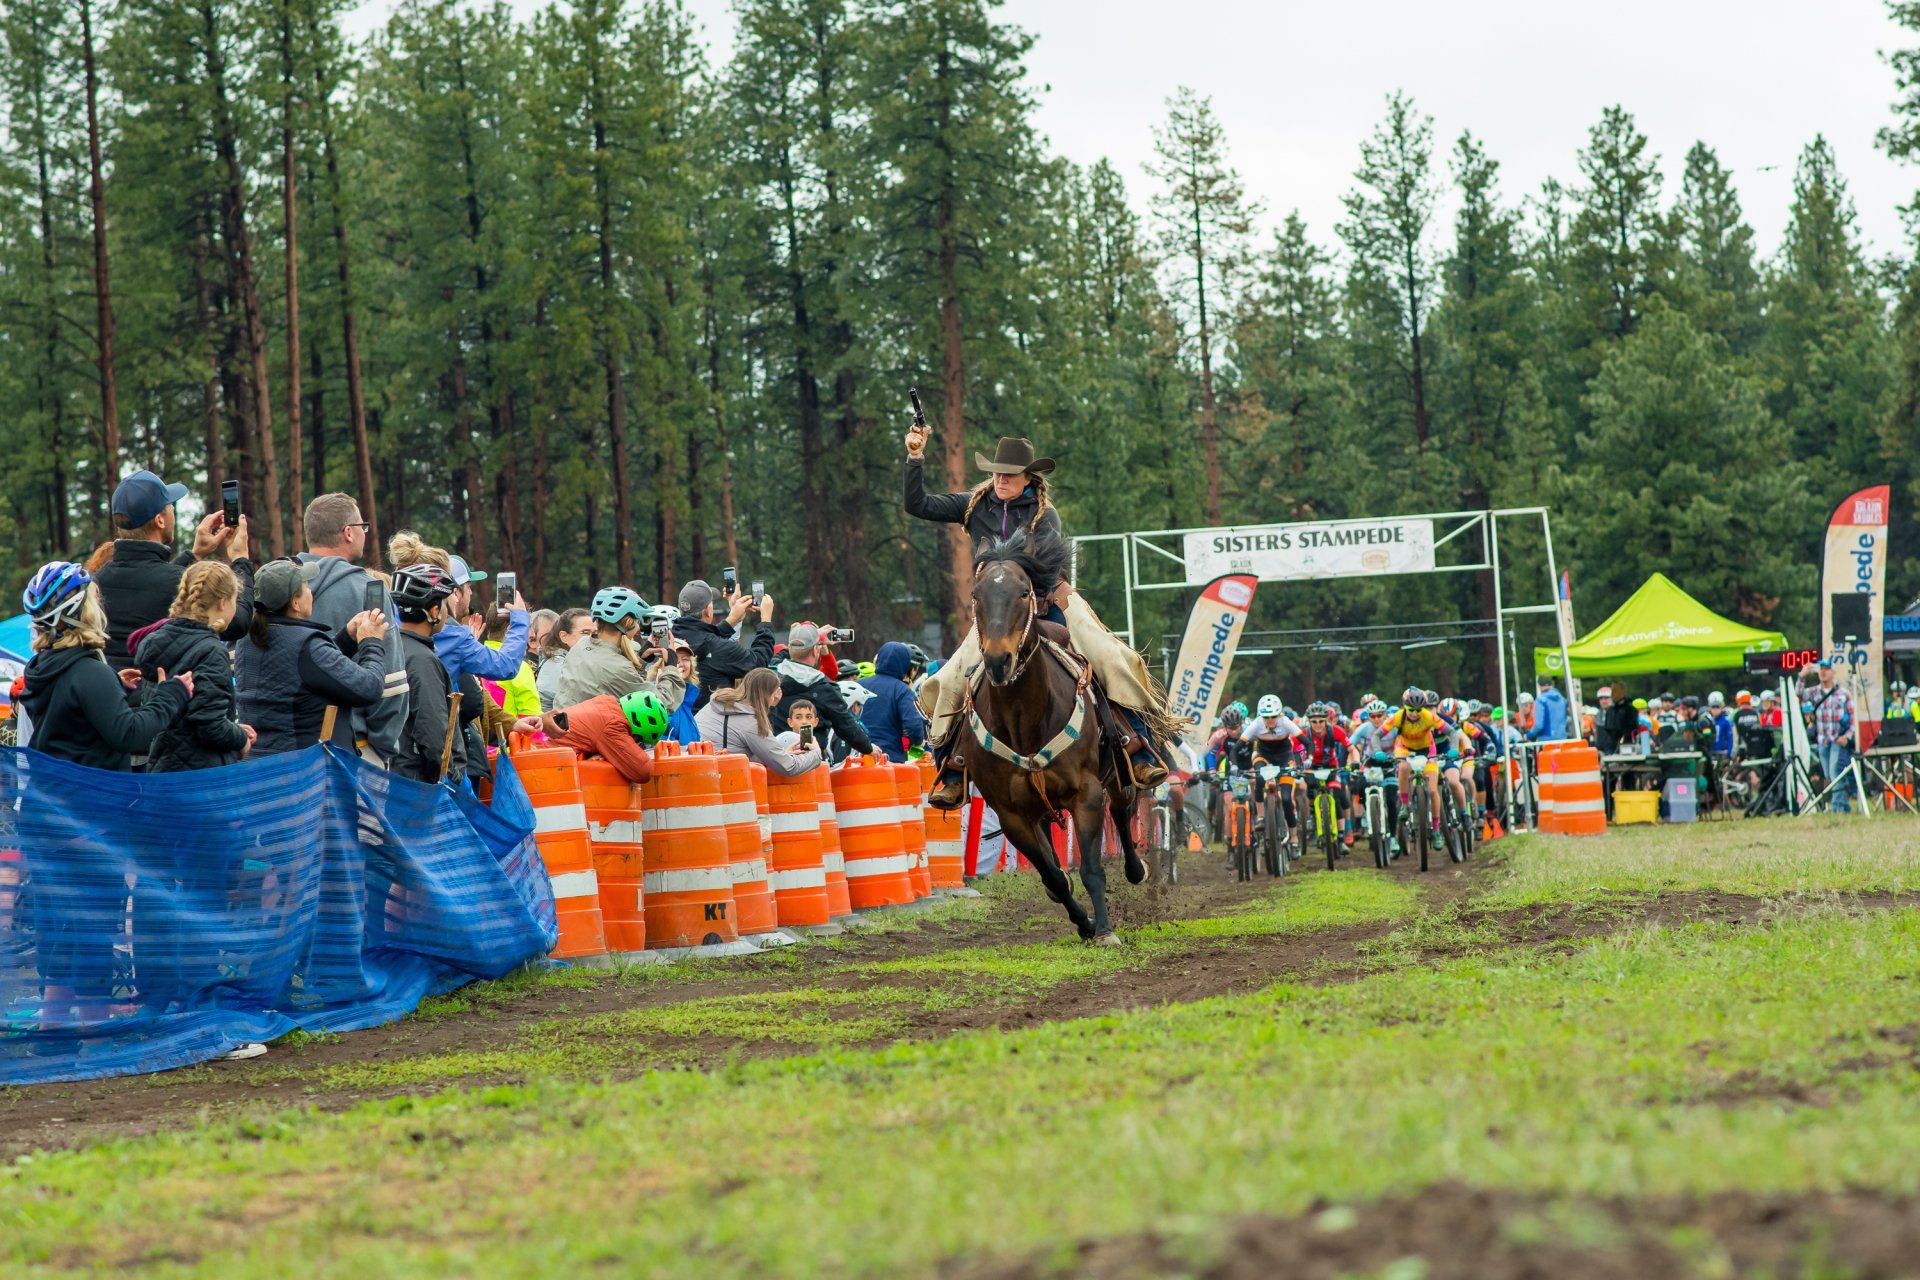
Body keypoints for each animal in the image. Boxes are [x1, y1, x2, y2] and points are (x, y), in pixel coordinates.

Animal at [960, 529, 1136, 940]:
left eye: (1024, 592)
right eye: (976, 594)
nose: (998, 660)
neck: (1024, 718)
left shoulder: (1087, 793)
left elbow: (1091, 868)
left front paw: (1105, 930)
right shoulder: (1011, 815)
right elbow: (1054, 877)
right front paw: (1086, 924)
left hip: (1117, 771)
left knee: (1122, 810)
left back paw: (1137, 870)